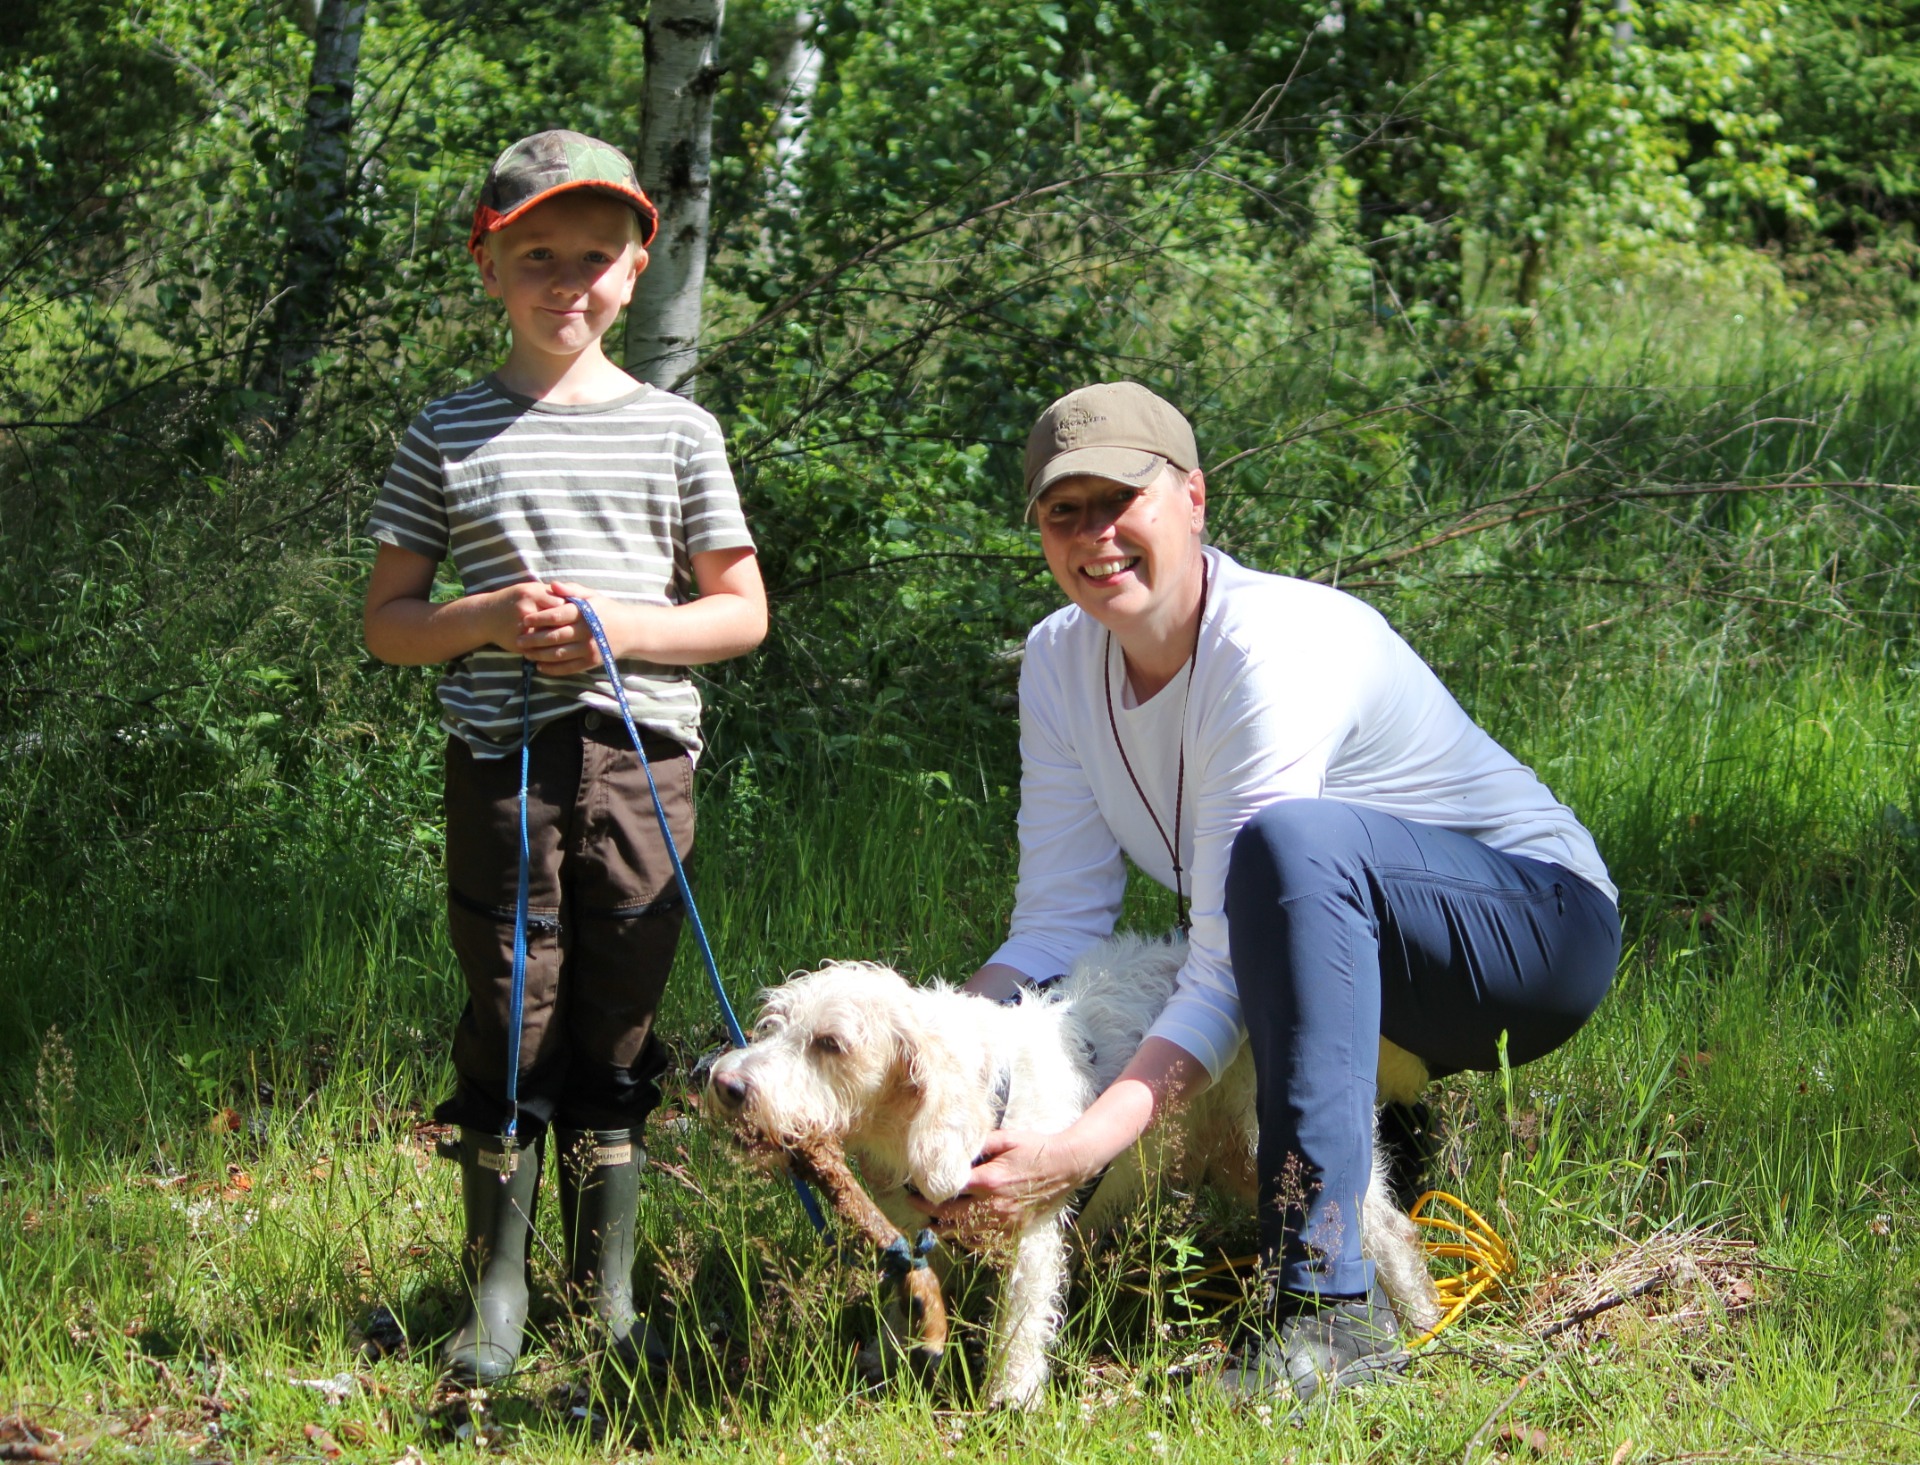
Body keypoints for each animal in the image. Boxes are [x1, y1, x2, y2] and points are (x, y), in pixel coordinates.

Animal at [704, 933, 1440, 1408]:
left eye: (831, 1043)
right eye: (771, 1024)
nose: (725, 1084)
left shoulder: (1033, 1228)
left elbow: (1022, 1322)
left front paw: (1011, 1400)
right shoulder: (915, 1228)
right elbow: (908, 1288)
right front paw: (886, 1360)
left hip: (1284, 1147)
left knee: (1388, 1227)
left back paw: (1424, 1318)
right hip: (1234, 1154)